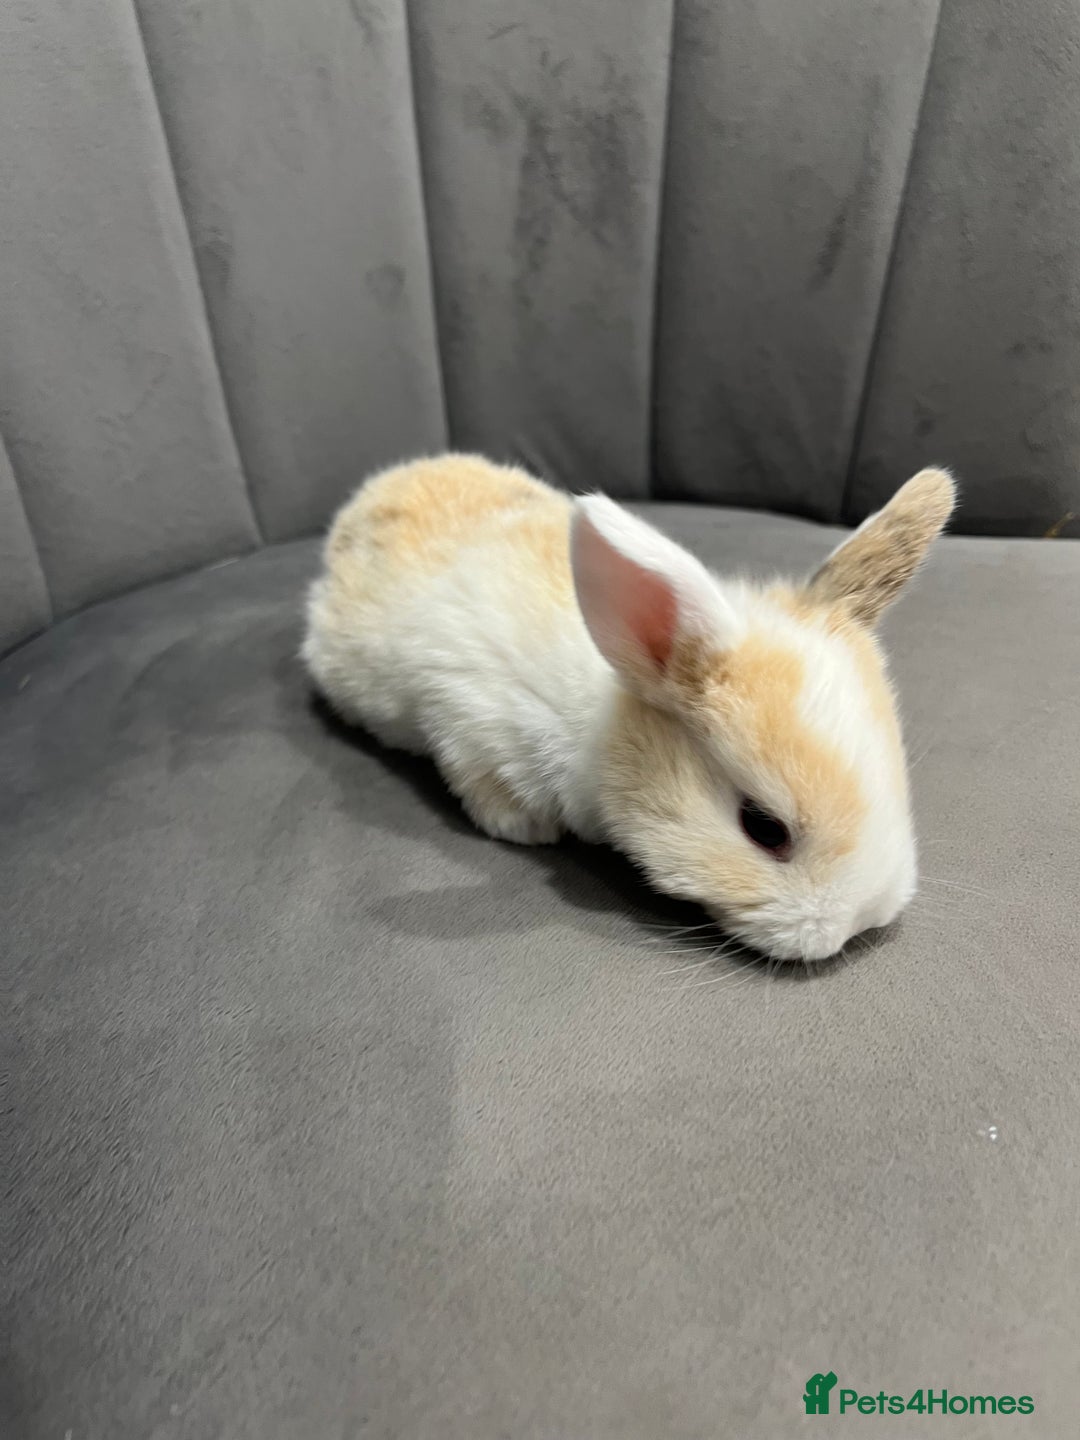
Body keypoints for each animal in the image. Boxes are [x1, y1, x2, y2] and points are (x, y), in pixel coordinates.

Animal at [302, 453, 955, 962]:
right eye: (764, 827)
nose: (858, 925)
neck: (606, 723)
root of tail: (373, 490)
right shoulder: (463, 715)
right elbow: (479, 778)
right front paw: (526, 829)